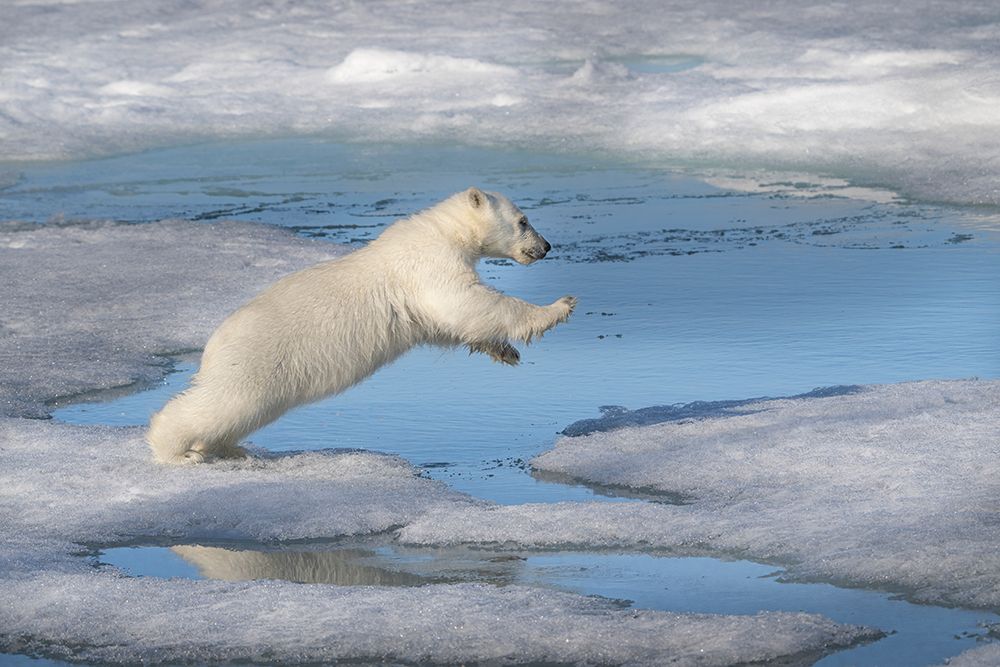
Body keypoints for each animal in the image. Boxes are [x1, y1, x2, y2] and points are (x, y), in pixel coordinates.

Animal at [147, 187, 577, 464]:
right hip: (257, 361)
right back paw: (174, 450)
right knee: (221, 404)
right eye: (523, 220)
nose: (546, 247)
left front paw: (506, 352)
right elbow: (466, 302)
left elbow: (451, 324)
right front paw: (559, 307)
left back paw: (229, 449)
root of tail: (212, 345)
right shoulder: (428, 264)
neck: (443, 232)